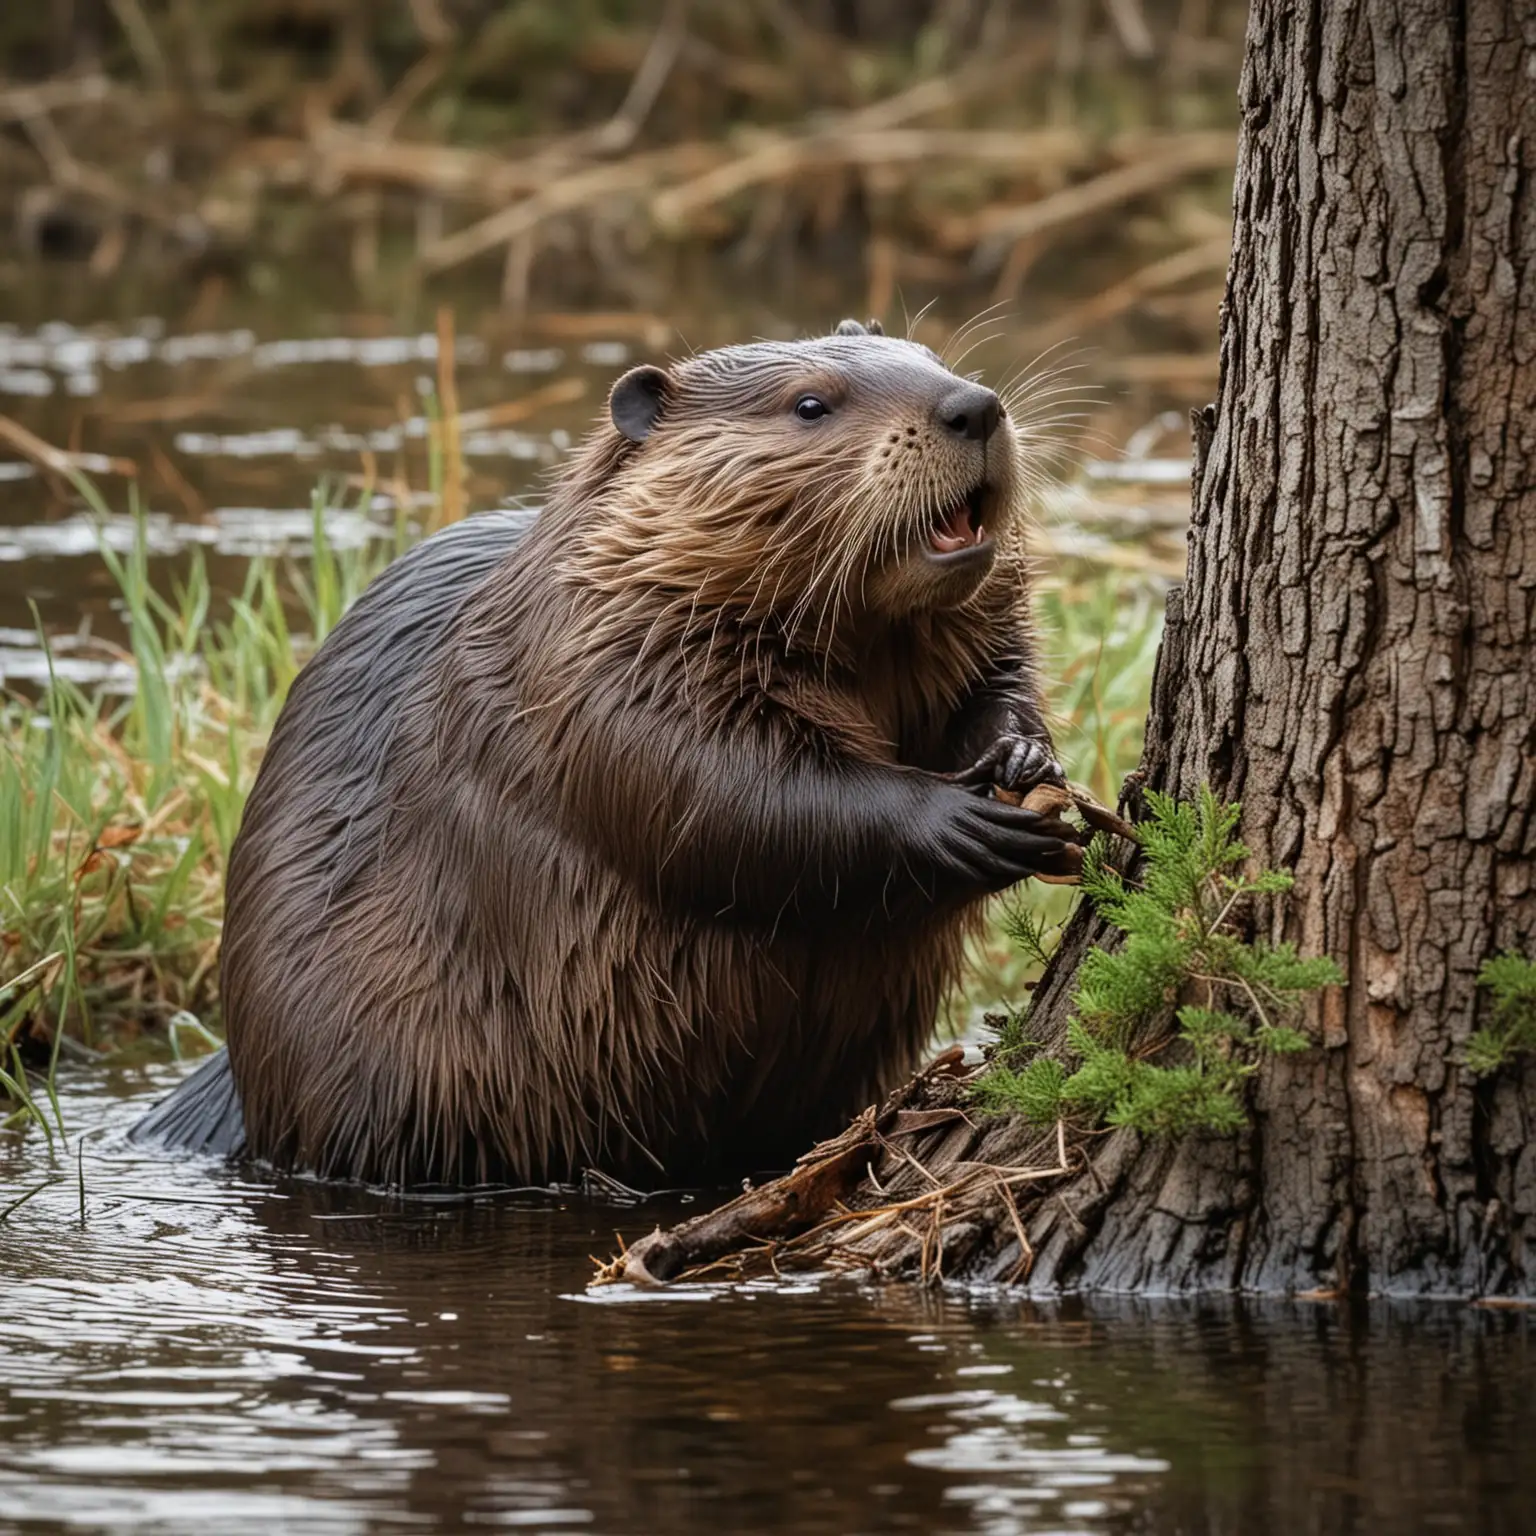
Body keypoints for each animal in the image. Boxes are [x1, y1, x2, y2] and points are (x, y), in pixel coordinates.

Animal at [135, 317, 1081, 1185]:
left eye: (930, 358)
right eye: (810, 403)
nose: (972, 406)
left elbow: (998, 674)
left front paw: (1025, 761)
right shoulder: (591, 663)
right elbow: (725, 796)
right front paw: (961, 821)